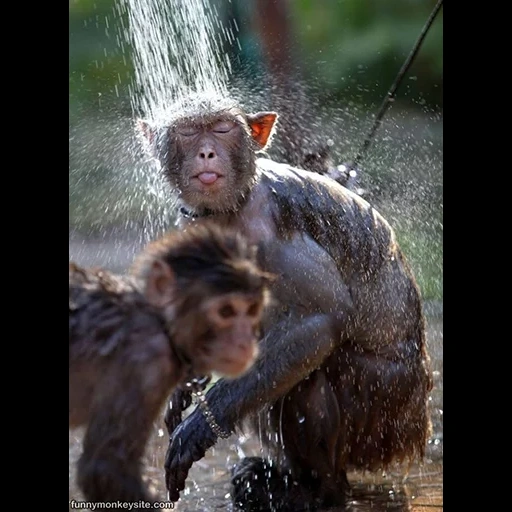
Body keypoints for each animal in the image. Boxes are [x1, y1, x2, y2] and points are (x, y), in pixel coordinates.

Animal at [71, 222, 276, 506]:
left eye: (252, 310)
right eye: (226, 311)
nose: (246, 342)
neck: (160, 322)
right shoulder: (145, 362)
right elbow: (104, 469)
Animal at [138, 94, 434, 510]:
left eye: (222, 129)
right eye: (188, 131)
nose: (207, 152)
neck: (233, 206)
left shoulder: (268, 232)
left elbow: (323, 317)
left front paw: (198, 427)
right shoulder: (194, 228)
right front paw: (186, 380)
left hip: (387, 415)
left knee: (309, 373)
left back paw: (321, 491)